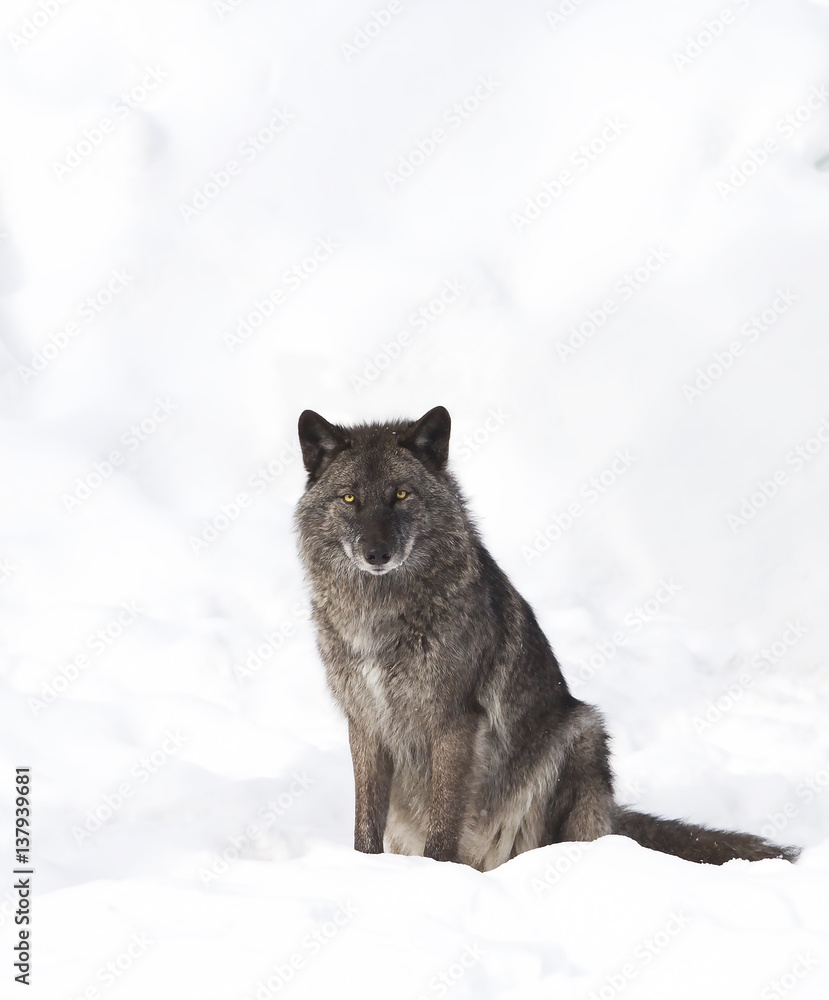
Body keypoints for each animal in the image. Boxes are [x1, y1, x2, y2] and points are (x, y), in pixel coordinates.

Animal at [294, 405, 799, 870]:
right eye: (349, 498)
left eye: (401, 494)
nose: (376, 553)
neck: (380, 614)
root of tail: (612, 816)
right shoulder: (365, 723)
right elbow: (365, 825)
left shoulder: (454, 722)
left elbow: (443, 825)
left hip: (581, 733)